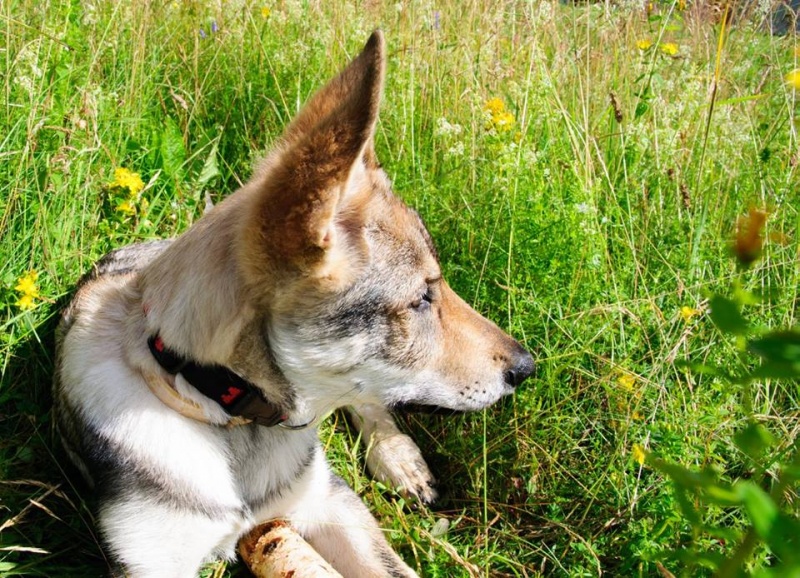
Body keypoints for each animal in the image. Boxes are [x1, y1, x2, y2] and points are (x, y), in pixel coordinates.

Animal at [54, 31, 532, 576]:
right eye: (420, 298)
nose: (527, 366)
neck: (222, 411)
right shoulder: (149, 558)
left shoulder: (328, 502)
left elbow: (396, 568)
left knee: (367, 402)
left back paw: (401, 460)